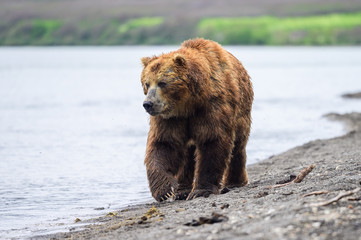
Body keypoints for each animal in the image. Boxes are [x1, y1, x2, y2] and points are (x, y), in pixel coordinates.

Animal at [139, 39, 252, 201]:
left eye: (162, 83)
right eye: (147, 83)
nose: (148, 104)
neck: (188, 105)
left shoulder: (212, 106)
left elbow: (212, 141)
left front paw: (201, 190)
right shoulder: (170, 118)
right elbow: (164, 144)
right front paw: (165, 190)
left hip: (241, 111)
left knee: (237, 146)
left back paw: (234, 182)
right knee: (187, 155)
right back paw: (182, 190)